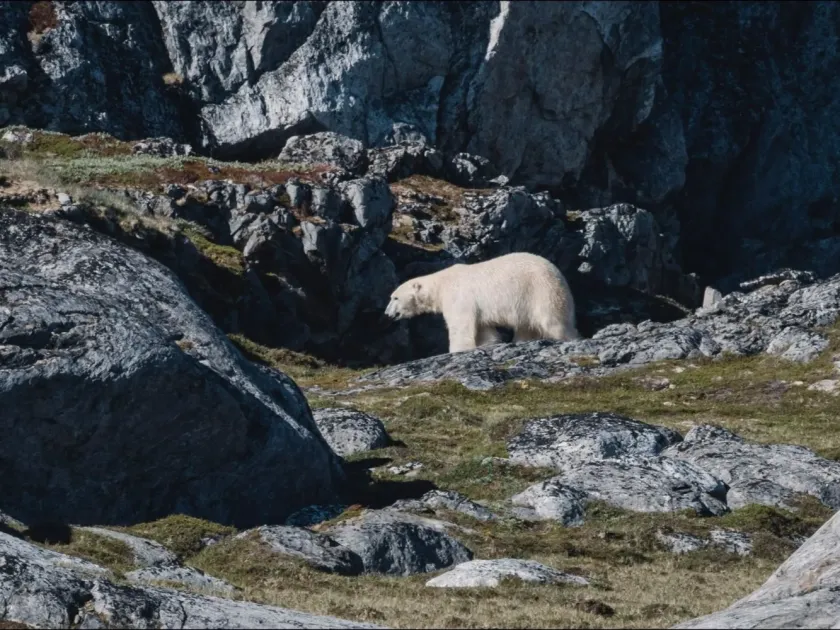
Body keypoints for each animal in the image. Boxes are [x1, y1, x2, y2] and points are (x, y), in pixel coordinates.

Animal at [384, 252, 580, 354]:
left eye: (395, 297)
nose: (387, 314)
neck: (441, 284)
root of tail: (560, 275)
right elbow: (484, 328)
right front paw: (489, 343)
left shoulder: (459, 297)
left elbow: (460, 325)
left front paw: (458, 350)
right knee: (526, 325)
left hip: (541, 291)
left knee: (553, 321)